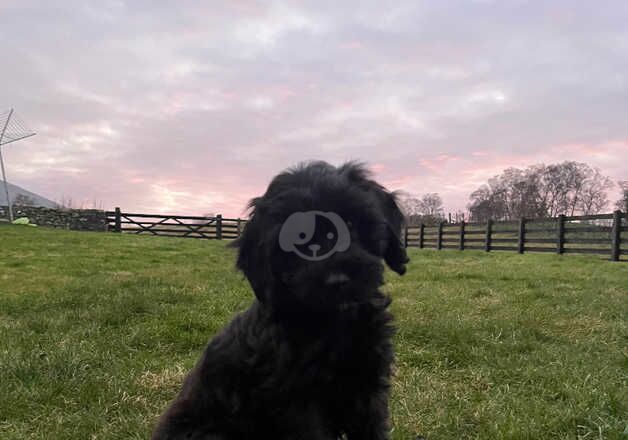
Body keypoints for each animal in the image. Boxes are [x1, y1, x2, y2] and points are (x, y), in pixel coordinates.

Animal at [154, 160, 410, 438]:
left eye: (350, 223)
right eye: (298, 236)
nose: (337, 280)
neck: (333, 324)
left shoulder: (368, 388)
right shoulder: (297, 403)